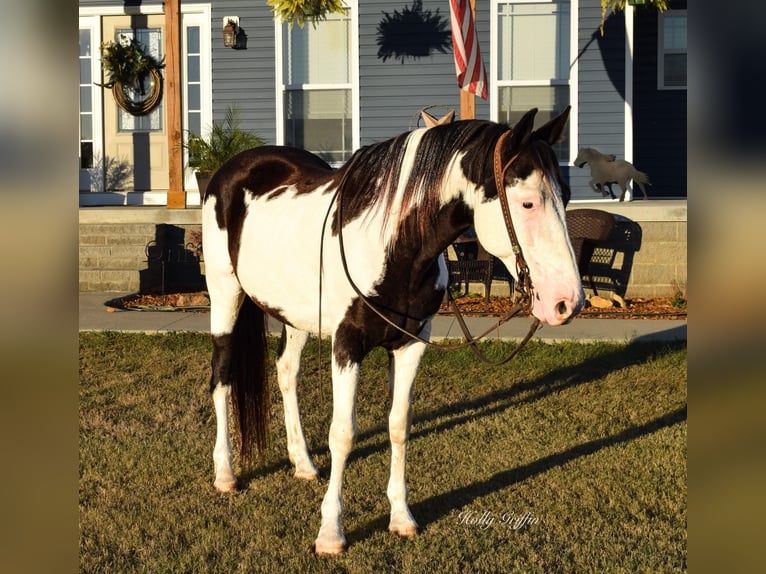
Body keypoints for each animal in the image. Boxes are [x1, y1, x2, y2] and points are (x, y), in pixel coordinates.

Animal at [201, 106, 584, 556]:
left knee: (286, 373)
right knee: (222, 377)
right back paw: (225, 474)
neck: (392, 245)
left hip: (294, 315)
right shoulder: (347, 345)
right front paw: (331, 532)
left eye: (566, 195)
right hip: (225, 297)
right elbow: (343, 433)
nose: (567, 301)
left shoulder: (410, 346)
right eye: (527, 201)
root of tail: (232, 169)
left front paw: (401, 517)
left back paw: (303, 463)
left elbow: (399, 425)